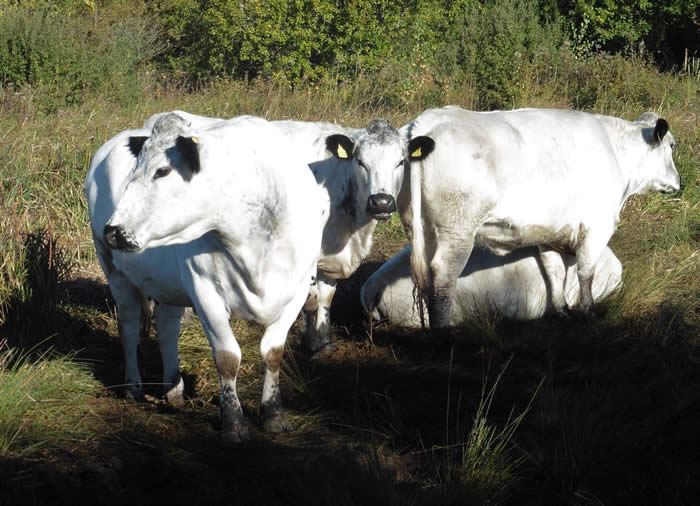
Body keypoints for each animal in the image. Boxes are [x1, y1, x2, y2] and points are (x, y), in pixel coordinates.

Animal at [86, 112, 326, 440]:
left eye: (162, 171)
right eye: (134, 169)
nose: (113, 230)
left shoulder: (298, 290)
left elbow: (273, 352)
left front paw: (274, 415)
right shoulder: (205, 291)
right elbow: (228, 357)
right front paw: (233, 424)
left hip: (168, 284)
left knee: (167, 327)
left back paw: (173, 390)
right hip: (113, 269)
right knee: (130, 326)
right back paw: (133, 387)